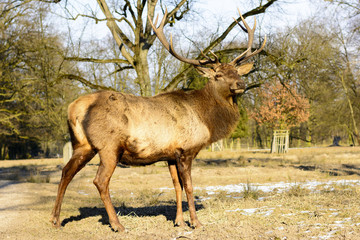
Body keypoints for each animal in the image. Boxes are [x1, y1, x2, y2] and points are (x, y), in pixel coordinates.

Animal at [49, 8, 266, 232]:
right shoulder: (186, 150)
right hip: (109, 146)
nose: (240, 84)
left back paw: (56, 220)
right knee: (100, 181)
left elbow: (177, 186)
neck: (206, 119)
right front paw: (196, 222)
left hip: (82, 145)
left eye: (236, 72)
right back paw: (117, 224)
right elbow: (189, 186)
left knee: (66, 172)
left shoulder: (170, 154)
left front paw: (179, 221)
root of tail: (74, 108)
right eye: (218, 75)